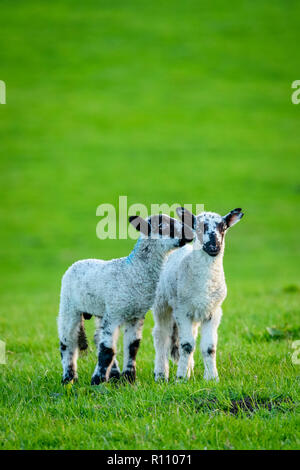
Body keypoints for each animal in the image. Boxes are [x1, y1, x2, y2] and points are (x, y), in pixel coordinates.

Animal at [56, 215, 192, 384]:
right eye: (162, 226)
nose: (190, 234)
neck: (133, 270)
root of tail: (77, 263)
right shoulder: (114, 313)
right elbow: (107, 350)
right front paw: (97, 381)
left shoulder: (136, 315)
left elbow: (132, 347)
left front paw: (129, 379)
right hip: (69, 306)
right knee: (67, 342)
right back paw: (68, 379)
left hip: (101, 311)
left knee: (97, 338)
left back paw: (113, 375)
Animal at [152, 207, 244, 382]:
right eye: (199, 228)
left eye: (223, 228)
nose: (214, 247)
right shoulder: (182, 310)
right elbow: (187, 345)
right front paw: (180, 378)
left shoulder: (213, 311)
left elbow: (209, 347)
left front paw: (212, 378)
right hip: (162, 303)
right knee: (162, 336)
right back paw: (161, 374)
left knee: (191, 336)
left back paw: (190, 370)